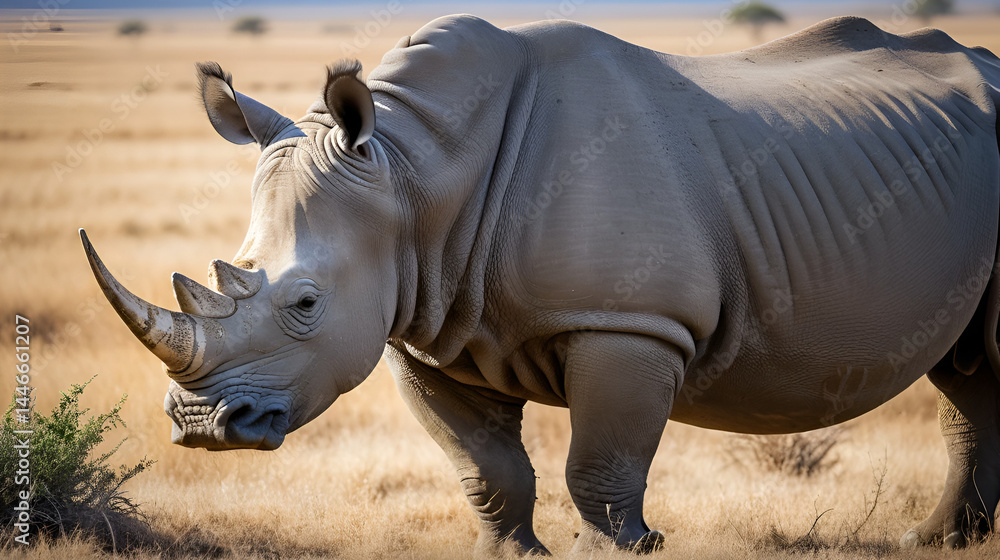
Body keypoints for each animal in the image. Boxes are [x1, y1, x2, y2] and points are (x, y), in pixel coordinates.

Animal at [80, 14, 1000, 555]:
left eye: (305, 304)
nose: (203, 426)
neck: (414, 173)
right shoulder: (423, 329)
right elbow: (487, 471)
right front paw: (511, 555)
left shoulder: (628, 320)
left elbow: (600, 468)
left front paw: (621, 551)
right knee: (968, 373)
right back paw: (937, 542)